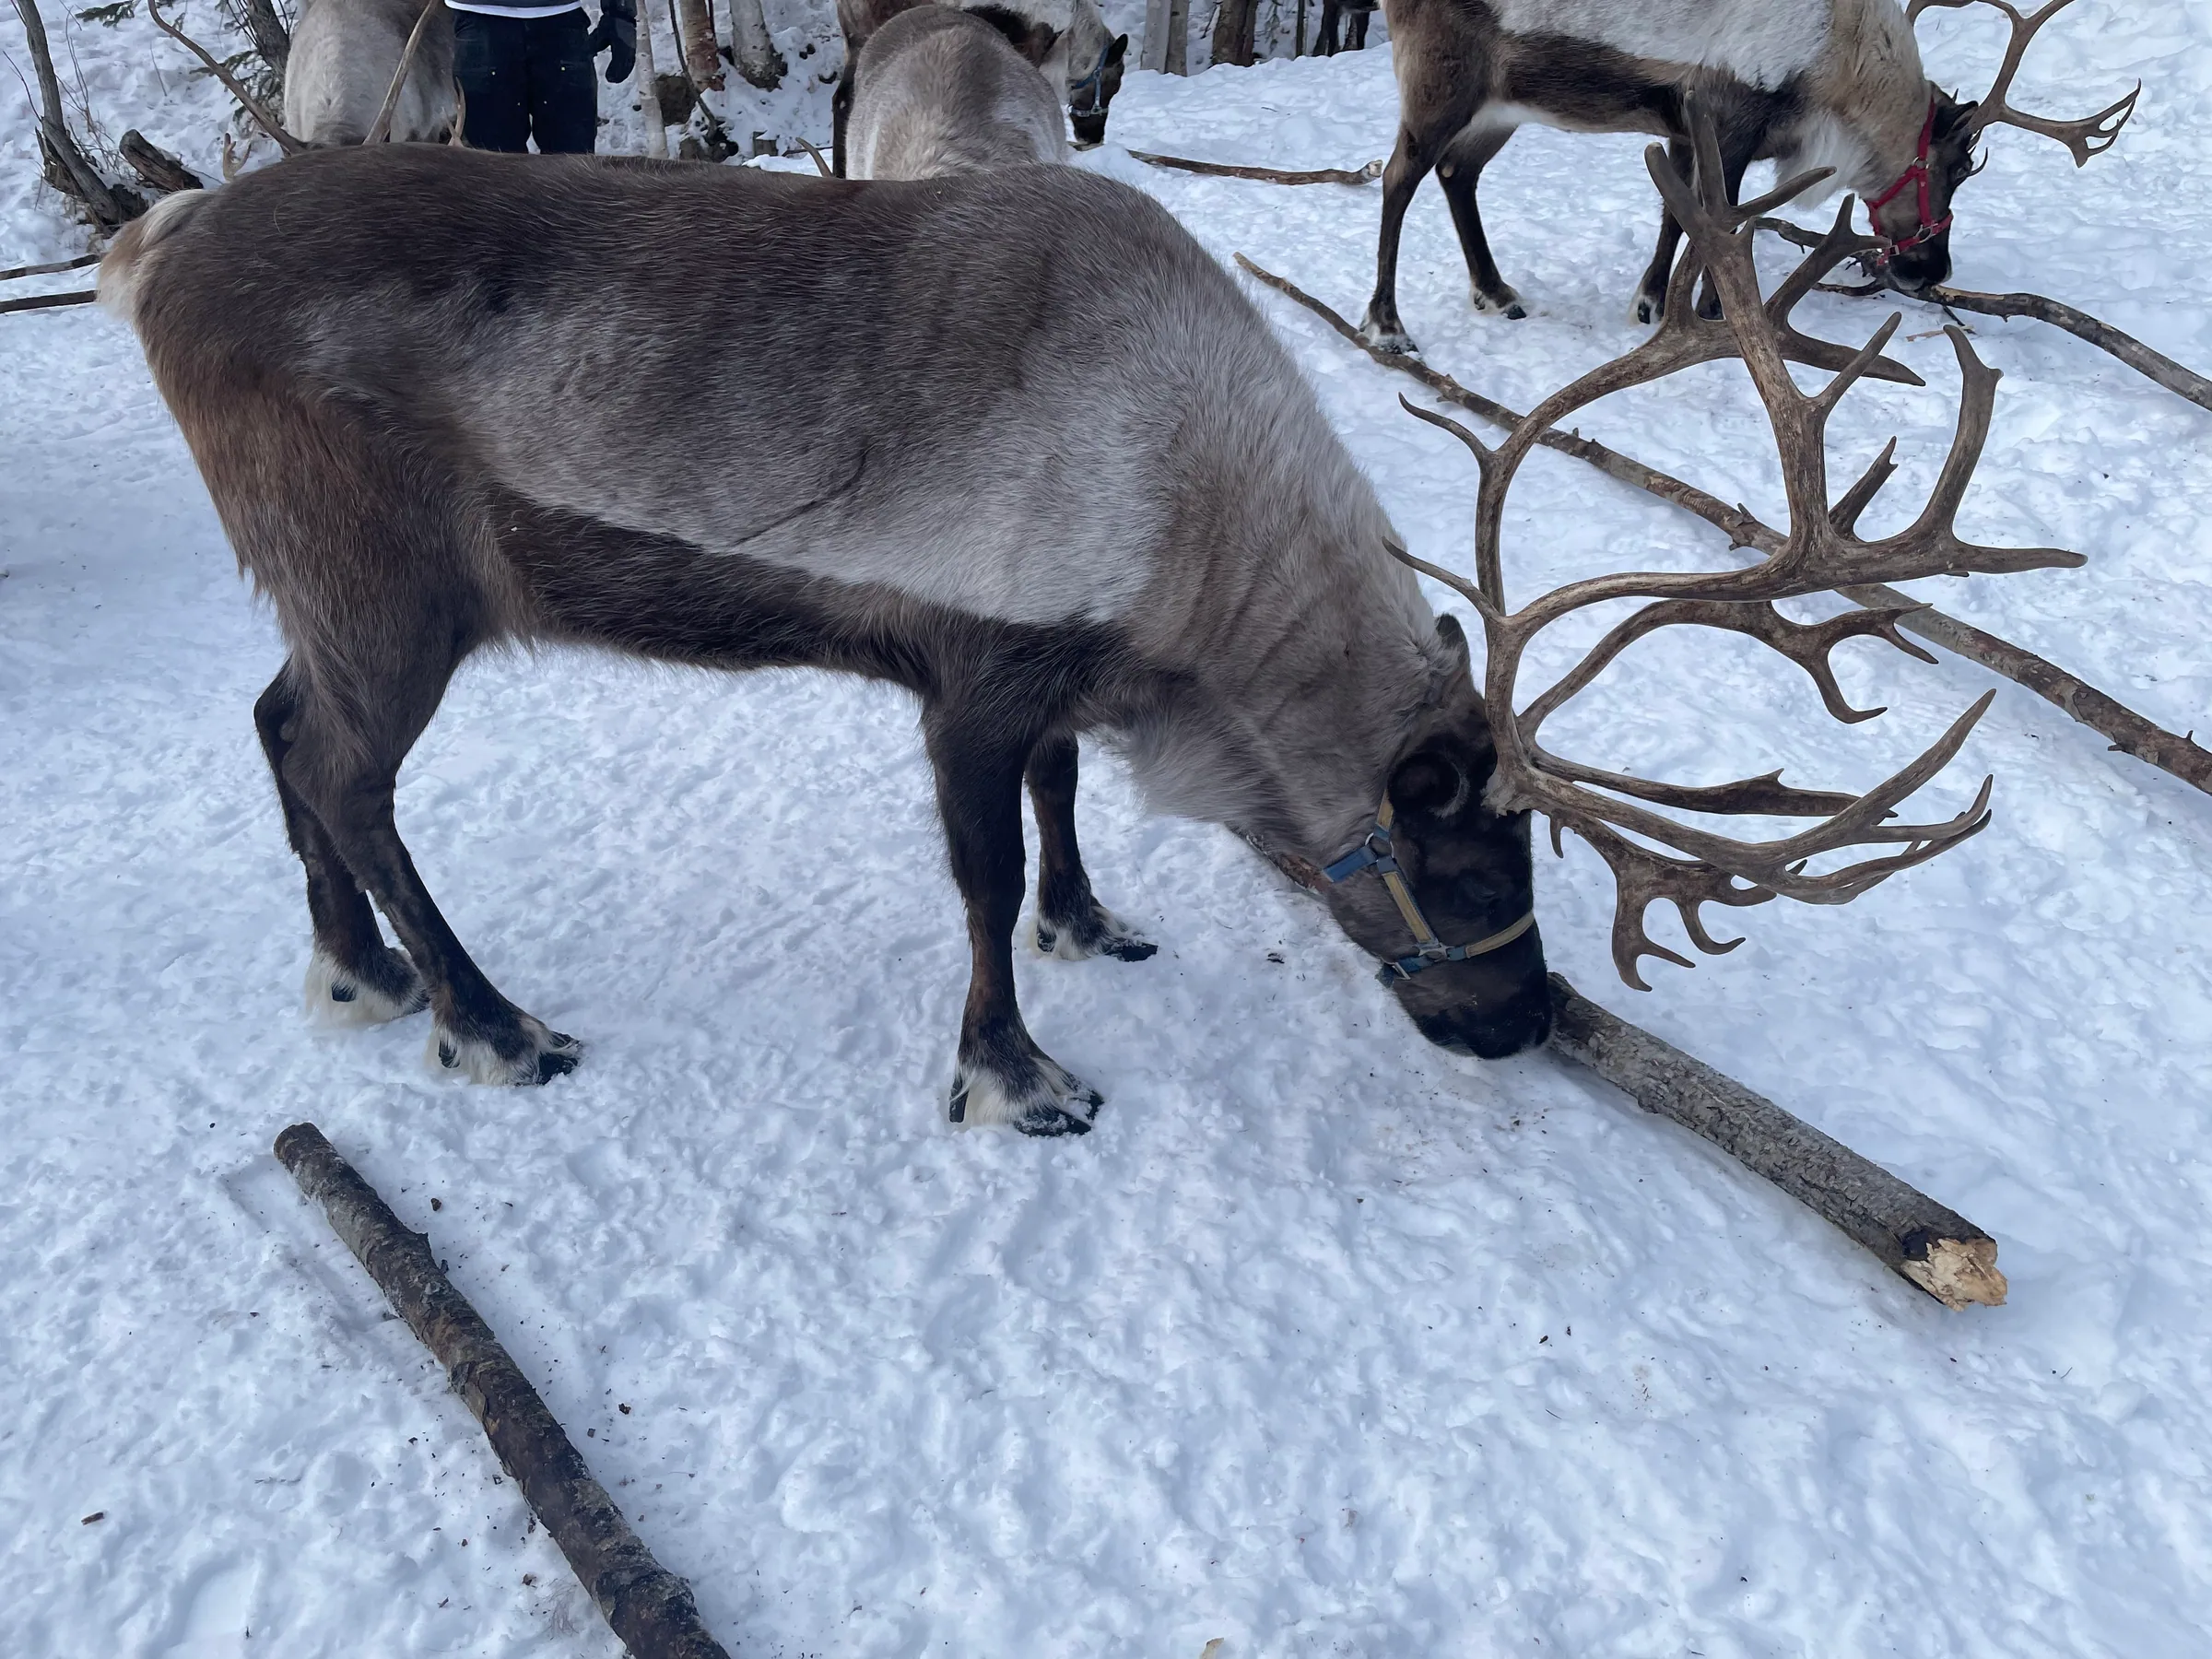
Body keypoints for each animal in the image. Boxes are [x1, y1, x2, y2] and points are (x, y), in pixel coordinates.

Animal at [97, 126, 2070, 1136]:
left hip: (333, 590)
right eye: (1448, 862)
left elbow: (1058, 809)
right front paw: (1012, 1072)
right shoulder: (968, 674)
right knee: (348, 771)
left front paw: (1091, 920)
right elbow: (977, 876)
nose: (1520, 1026)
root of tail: (154, 241)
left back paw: (356, 970)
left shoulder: (1068, 664)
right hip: (392, 579)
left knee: (278, 734)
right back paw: (484, 1018)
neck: (1200, 565)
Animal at [1362, 0, 2139, 354]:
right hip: (1440, 82)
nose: (1930, 268)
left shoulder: (1687, 130)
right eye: (1955, 167)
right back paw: (1387, 324)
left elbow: (1677, 217)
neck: (1842, 68)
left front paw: (1652, 302)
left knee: (1457, 173)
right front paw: (1710, 313)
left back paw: (1496, 292)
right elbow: (1716, 221)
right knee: (1400, 176)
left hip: (1502, 105)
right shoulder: (1726, 118)